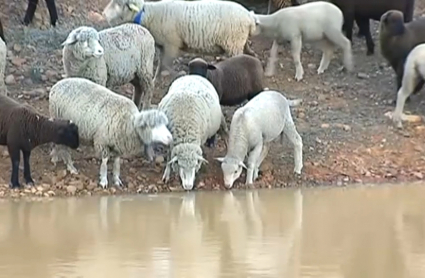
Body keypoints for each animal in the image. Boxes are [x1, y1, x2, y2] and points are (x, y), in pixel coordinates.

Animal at [101, 0, 256, 81]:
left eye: (119, 3)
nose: (103, 14)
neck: (147, 15)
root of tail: (249, 16)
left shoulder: (172, 44)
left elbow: (166, 64)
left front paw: (179, 74)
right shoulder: (163, 46)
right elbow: (160, 65)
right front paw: (155, 79)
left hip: (233, 44)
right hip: (239, 43)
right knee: (250, 53)